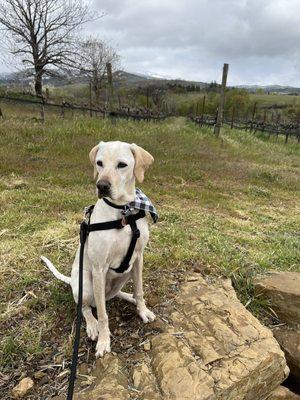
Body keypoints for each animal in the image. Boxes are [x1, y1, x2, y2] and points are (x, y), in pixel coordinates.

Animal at [41, 141, 156, 356]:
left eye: (122, 165)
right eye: (99, 163)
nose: (101, 186)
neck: (123, 211)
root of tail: (72, 281)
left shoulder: (138, 258)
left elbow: (139, 290)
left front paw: (142, 310)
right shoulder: (99, 268)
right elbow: (103, 314)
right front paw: (104, 341)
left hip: (124, 275)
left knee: (112, 295)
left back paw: (128, 297)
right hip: (86, 284)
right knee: (86, 308)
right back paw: (92, 325)